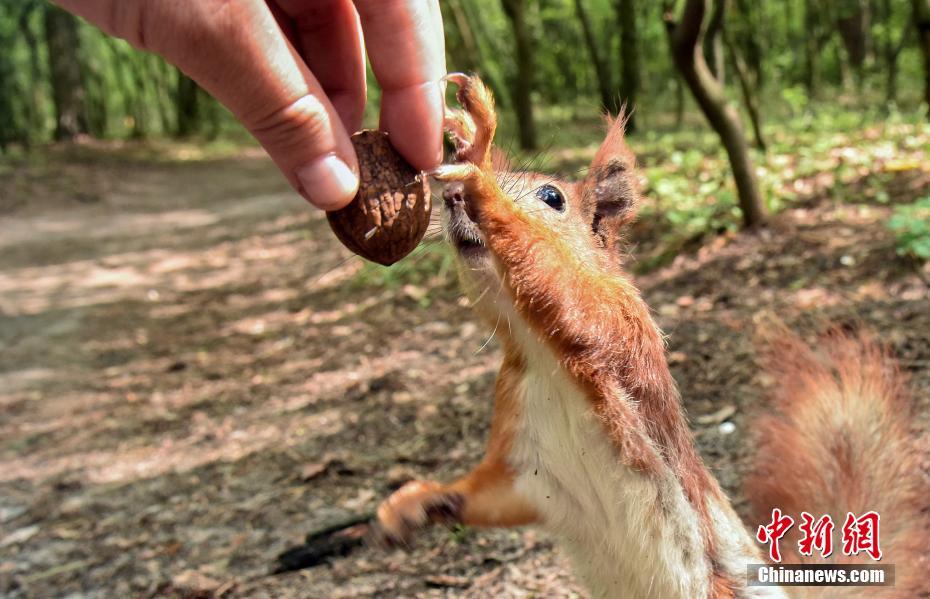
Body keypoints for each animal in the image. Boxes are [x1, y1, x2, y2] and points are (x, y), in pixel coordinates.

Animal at [372, 76, 928, 599]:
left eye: (552, 198)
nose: (450, 199)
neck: (537, 347)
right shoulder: (527, 455)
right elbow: (491, 493)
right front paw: (415, 501)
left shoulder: (623, 325)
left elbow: (572, 298)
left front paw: (478, 161)